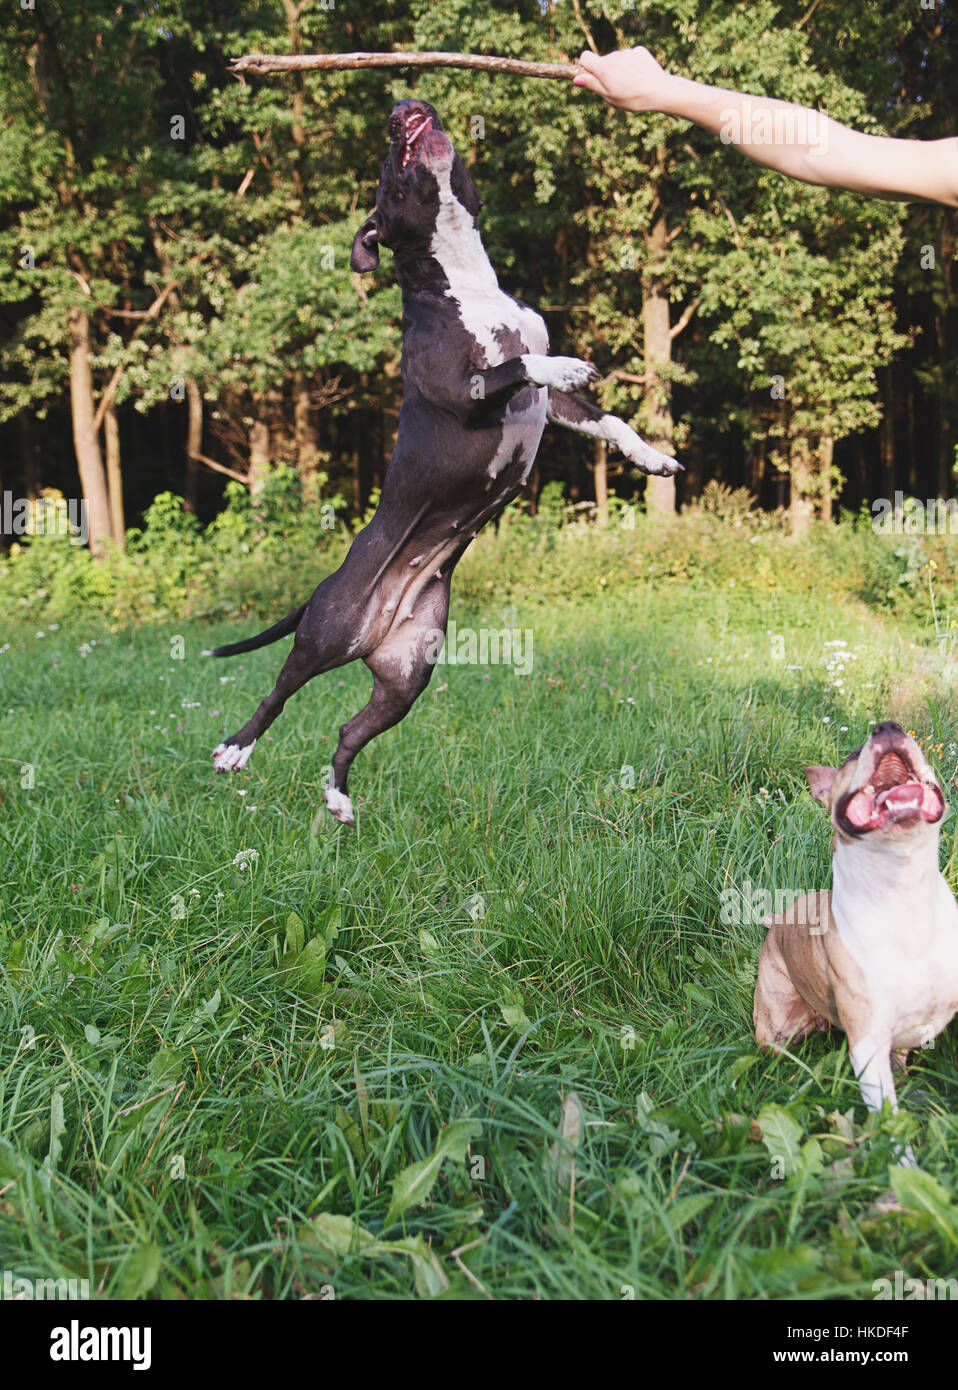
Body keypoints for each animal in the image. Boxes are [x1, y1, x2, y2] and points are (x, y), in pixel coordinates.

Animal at [212, 105, 675, 834]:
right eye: (386, 166)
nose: (402, 109)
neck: (465, 280)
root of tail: (366, 619)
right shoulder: (465, 390)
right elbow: (522, 364)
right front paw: (567, 363)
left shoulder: (555, 410)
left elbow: (610, 420)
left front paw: (655, 456)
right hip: (325, 634)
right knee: (277, 693)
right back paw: (236, 748)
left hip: (407, 676)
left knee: (348, 731)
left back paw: (339, 798)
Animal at [756, 722, 956, 1156]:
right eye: (851, 756)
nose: (888, 727)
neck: (903, 891)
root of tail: (780, 920)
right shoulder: (867, 1046)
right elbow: (891, 1125)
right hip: (775, 1028)